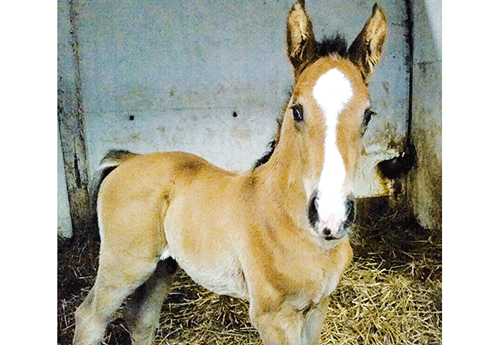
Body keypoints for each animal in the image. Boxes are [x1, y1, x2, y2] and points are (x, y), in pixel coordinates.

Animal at [73, 1, 386, 342]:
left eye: (368, 115)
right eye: (297, 111)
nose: (332, 217)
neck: (289, 222)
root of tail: (127, 161)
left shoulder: (317, 308)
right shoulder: (273, 317)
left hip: (162, 268)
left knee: (140, 319)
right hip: (125, 265)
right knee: (89, 317)